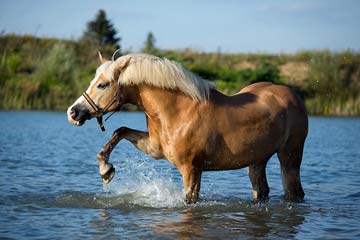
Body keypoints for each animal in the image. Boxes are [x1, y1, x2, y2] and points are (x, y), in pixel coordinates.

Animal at [68, 52, 310, 202]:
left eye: (103, 84)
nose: (73, 113)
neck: (179, 112)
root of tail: (292, 95)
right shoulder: (155, 149)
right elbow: (120, 131)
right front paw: (106, 170)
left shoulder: (191, 170)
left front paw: (106, 170)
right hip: (257, 160)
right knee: (261, 192)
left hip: (290, 157)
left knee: (294, 192)